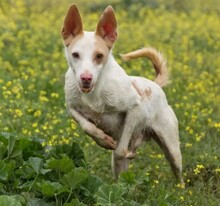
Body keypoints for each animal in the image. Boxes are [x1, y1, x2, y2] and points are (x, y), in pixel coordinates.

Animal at [62, 4, 184, 183]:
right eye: (75, 55)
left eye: (99, 56)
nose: (86, 78)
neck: (96, 91)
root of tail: (155, 84)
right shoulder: (71, 107)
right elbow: (87, 126)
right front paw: (103, 139)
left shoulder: (135, 108)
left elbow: (120, 151)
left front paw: (127, 153)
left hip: (172, 148)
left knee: (177, 171)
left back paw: (179, 189)